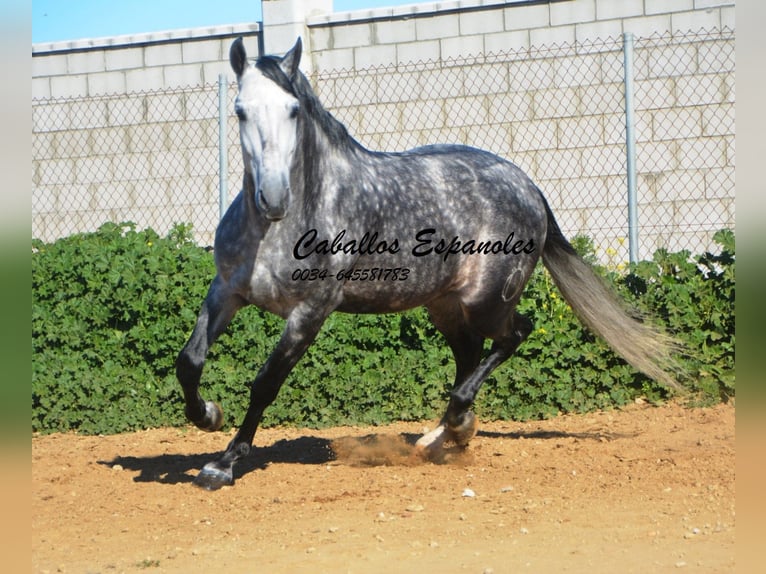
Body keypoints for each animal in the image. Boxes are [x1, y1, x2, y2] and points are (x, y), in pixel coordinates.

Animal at [176, 38, 684, 492]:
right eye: (240, 110)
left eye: (293, 110)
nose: (274, 198)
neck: (286, 227)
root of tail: (528, 185)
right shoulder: (227, 291)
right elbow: (190, 360)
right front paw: (209, 416)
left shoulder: (310, 312)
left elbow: (265, 383)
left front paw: (222, 465)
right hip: (444, 304)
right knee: (469, 354)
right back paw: (445, 436)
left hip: (487, 300)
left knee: (513, 334)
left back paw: (456, 423)